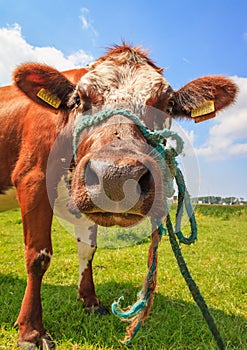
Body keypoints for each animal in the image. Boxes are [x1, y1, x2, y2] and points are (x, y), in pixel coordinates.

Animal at [0, 44, 237, 348]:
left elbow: (87, 250)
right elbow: (38, 256)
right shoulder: (32, 180)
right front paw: (30, 330)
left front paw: (90, 301)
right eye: (79, 99)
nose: (117, 176)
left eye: (167, 104)